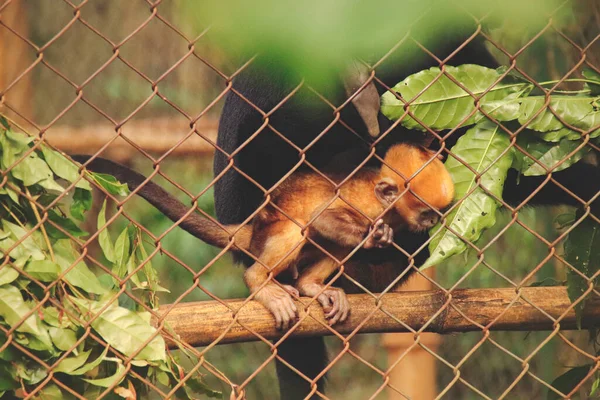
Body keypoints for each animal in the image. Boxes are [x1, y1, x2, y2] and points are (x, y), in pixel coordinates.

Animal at [72, 142, 452, 330]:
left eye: (436, 214)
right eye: (426, 213)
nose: (433, 222)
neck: (390, 208)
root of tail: (253, 226)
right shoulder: (369, 205)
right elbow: (322, 217)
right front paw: (376, 236)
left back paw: (311, 286)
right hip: (269, 232)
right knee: (297, 230)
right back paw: (259, 281)